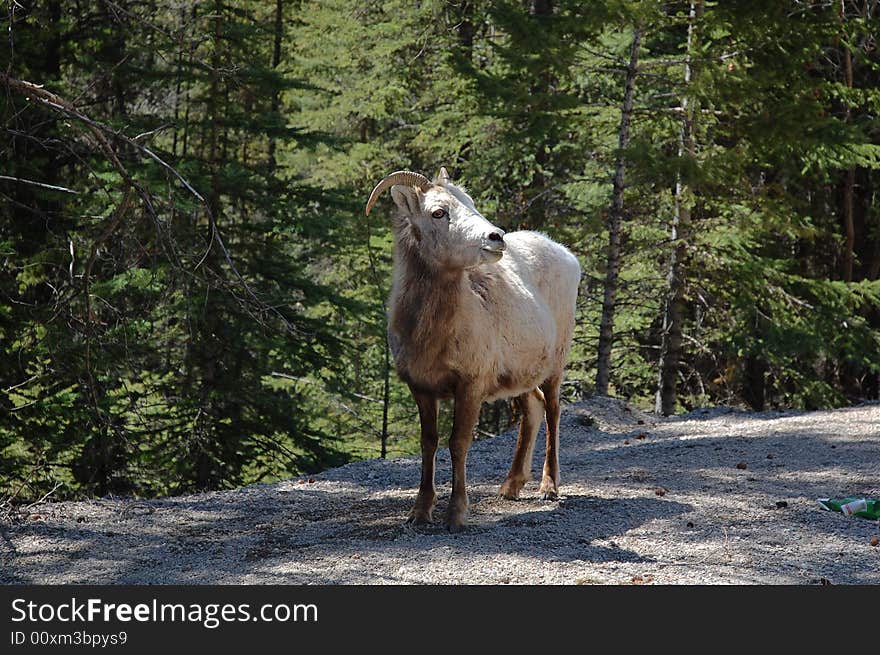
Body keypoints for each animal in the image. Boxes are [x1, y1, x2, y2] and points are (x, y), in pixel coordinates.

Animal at [366, 168, 580, 532]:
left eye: (471, 202)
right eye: (439, 212)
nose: (496, 238)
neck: (433, 334)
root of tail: (566, 254)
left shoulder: (470, 386)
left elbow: (459, 443)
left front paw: (456, 515)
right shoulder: (422, 388)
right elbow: (429, 443)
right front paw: (420, 513)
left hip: (556, 364)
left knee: (553, 410)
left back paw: (548, 488)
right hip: (521, 377)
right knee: (533, 409)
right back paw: (510, 487)